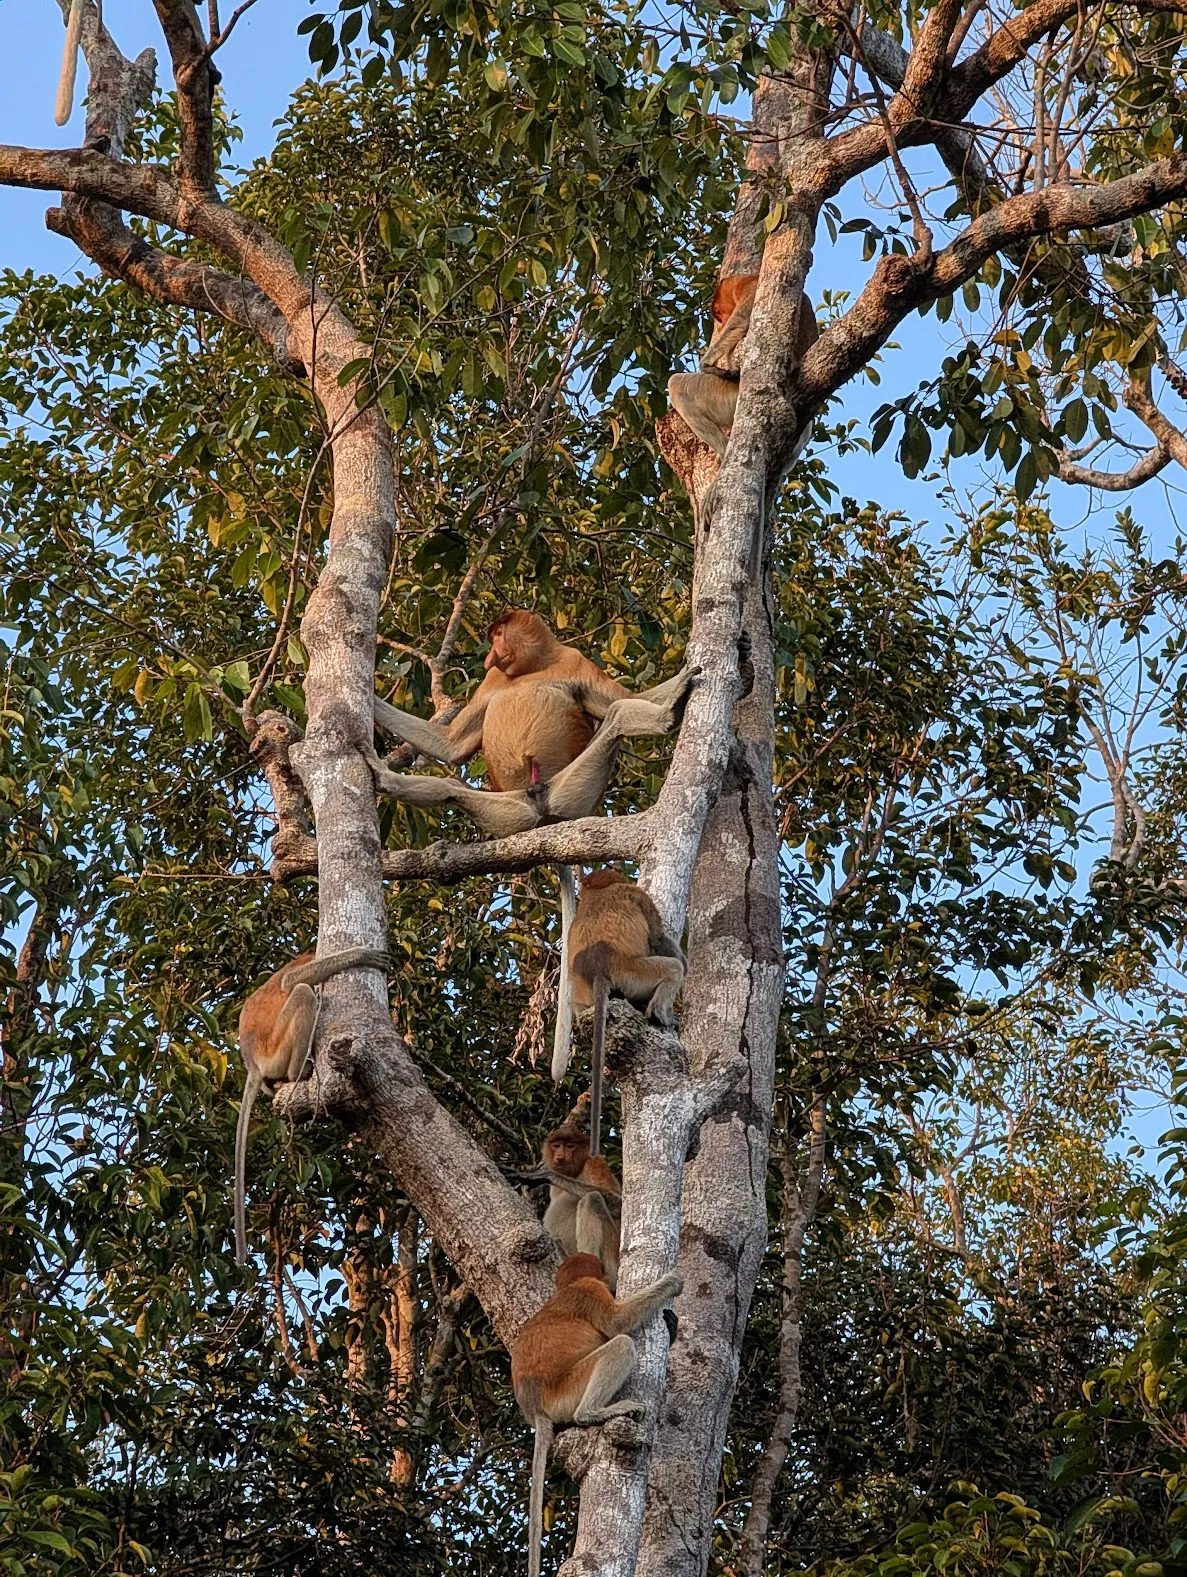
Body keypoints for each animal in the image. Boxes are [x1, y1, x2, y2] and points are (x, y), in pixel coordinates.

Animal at [234, 947, 388, 1264]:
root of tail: (252, 1061)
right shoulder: (307, 960)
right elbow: (291, 980)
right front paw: (362, 955)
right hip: (275, 1049)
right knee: (303, 992)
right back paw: (299, 1073)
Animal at [512, 1252, 682, 1577]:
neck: (568, 1286)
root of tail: (536, 1406)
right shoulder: (590, 1290)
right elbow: (617, 1322)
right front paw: (672, 1282)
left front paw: (672, 1323)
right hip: (569, 1390)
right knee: (621, 1345)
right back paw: (593, 1413)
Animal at [554, 869, 685, 1156]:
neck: (598, 892)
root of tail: (601, 969)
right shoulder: (636, 895)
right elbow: (659, 938)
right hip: (634, 974)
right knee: (672, 968)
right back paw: (661, 1014)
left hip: (585, 995)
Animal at [667, 274, 819, 459]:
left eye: (718, 311)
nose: (723, 322)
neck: (748, 279)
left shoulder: (752, 289)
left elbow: (740, 321)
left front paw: (707, 365)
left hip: (728, 395)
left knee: (677, 385)